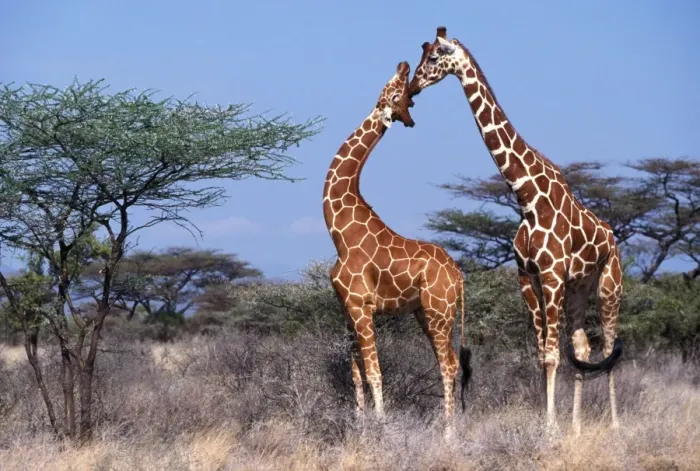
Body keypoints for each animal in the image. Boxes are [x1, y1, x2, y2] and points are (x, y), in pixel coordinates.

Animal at [323, 61, 472, 424]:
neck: (339, 232)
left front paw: (381, 425)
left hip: (438, 311)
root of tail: (459, 277)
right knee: (450, 362)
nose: (403, 65)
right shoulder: (346, 307)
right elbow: (356, 374)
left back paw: (449, 431)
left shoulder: (362, 305)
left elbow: (376, 372)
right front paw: (360, 425)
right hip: (426, 313)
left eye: (396, 94)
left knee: (448, 365)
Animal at [407, 27, 624, 435]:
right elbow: (543, 353)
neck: (525, 195)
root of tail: (613, 238)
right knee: (583, 348)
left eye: (434, 57)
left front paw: (551, 428)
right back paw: (577, 426)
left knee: (609, 346)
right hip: (577, 289)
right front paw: (549, 422)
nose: (412, 87)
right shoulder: (528, 275)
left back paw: (616, 425)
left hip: (609, 285)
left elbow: (552, 355)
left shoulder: (551, 275)